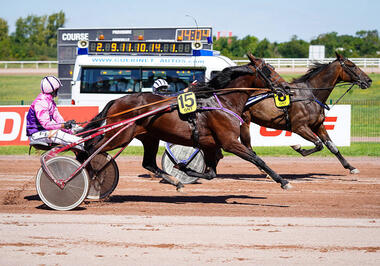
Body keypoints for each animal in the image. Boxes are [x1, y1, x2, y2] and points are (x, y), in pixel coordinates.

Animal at [81, 57, 292, 191]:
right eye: (269, 71)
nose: (287, 87)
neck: (223, 102)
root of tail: (116, 101)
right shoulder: (229, 142)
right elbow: (257, 159)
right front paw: (283, 181)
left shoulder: (210, 144)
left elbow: (211, 173)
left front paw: (184, 169)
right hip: (120, 135)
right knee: (90, 149)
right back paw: (89, 174)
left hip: (149, 137)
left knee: (148, 163)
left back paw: (177, 183)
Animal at [240, 52, 372, 174]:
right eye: (352, 65)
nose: (368, 80)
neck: (310, 95)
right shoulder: (300, 127)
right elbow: (319, 144)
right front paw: (298, 148)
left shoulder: (318, 125)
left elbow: (332, 146)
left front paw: (350, 167)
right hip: (245, 120)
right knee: (248, 147)